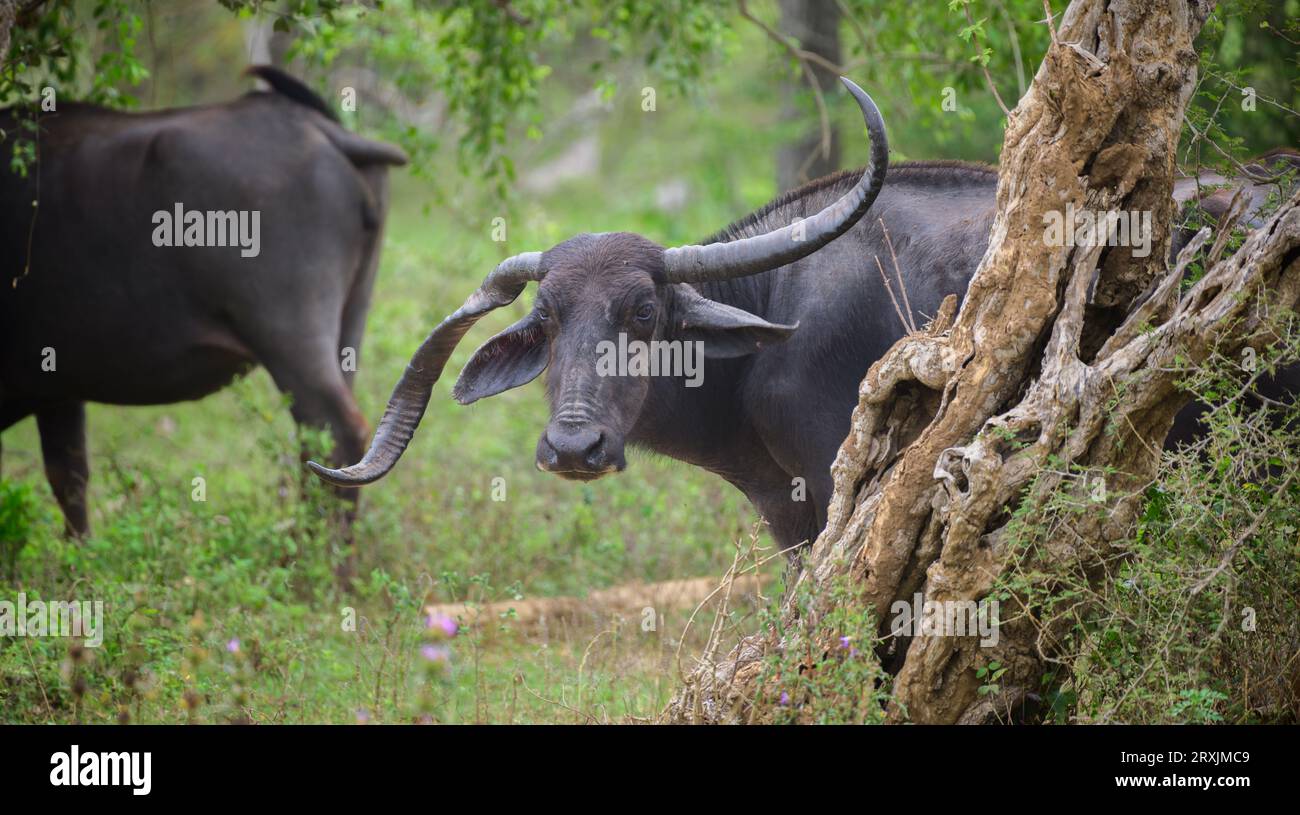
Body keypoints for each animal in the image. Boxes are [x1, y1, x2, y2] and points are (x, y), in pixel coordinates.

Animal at [0, 66, 405, 538]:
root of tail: (318, 129)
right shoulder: (58, 390)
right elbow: (69, 478)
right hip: (349, 325)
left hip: (289, 336)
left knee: (334, 431)